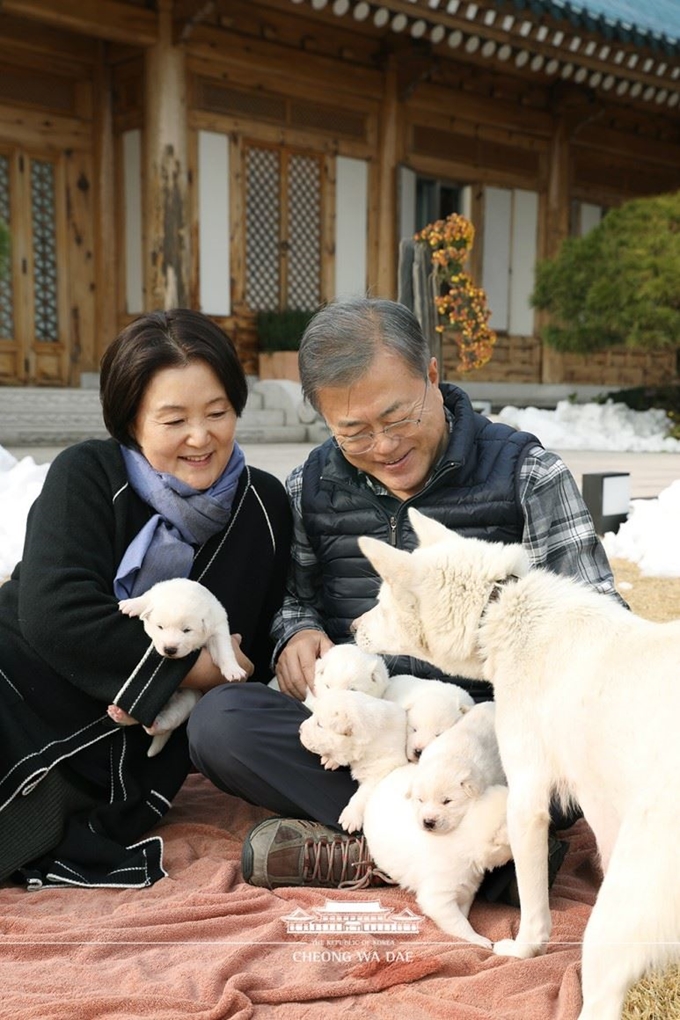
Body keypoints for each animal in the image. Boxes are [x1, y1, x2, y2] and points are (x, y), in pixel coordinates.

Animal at [111, 579, 247, 754]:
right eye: (160, 627)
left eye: (187, 630)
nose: (170, 649)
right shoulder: (156, 591)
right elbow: (146, 599)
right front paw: (132, 604)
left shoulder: (218, 628)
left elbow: (224, 649)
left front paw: (233, 669)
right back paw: (120, 714)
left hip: (188, 700)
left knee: (165, 721)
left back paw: (147, 723)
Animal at [299, 685, 409, 836]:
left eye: (320, 725)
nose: (300, 729)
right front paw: (331, 760)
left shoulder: (379, 772)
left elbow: (361, 796)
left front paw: (350, 817)